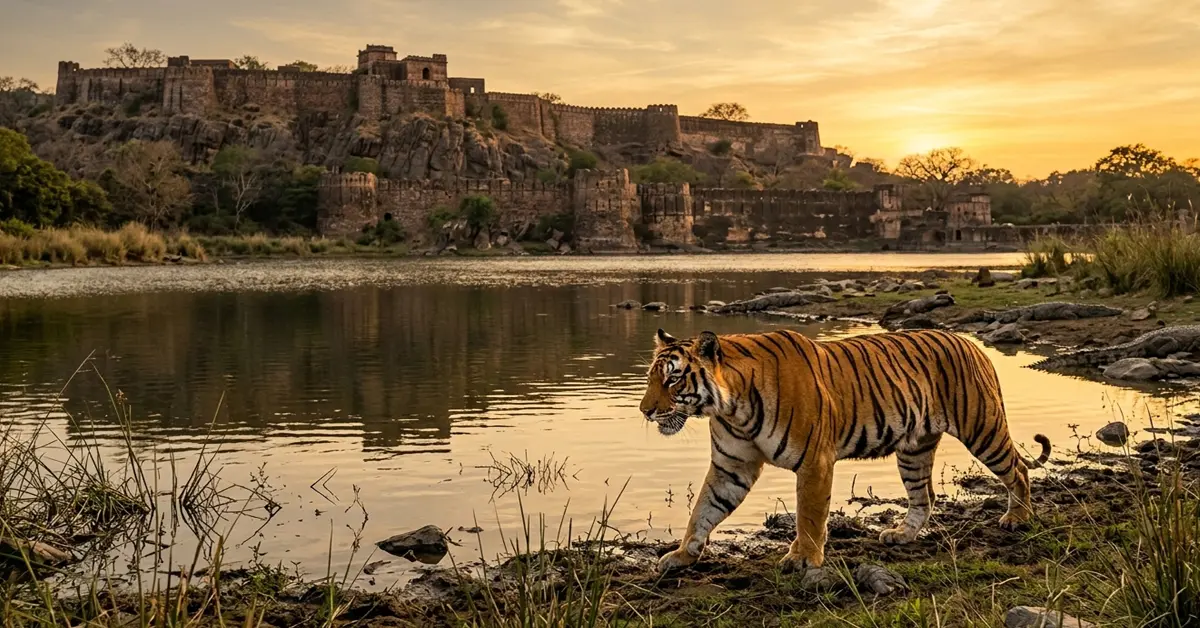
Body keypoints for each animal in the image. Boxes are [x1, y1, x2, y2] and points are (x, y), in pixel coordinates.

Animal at [639, 327, 1051, 574]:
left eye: (673, 379)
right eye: (650, 378)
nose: (644, 411)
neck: (731, 407)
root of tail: (971, 344)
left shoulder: (814, 462)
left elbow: (809, 515)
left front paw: (804, 558)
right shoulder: (731, 467)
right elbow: (703, 510)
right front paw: (682, 555)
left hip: (982, 427)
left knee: (1018, 469)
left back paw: (1018, 518)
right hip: (914, 450)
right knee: (925, 496)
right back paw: (901, 535)